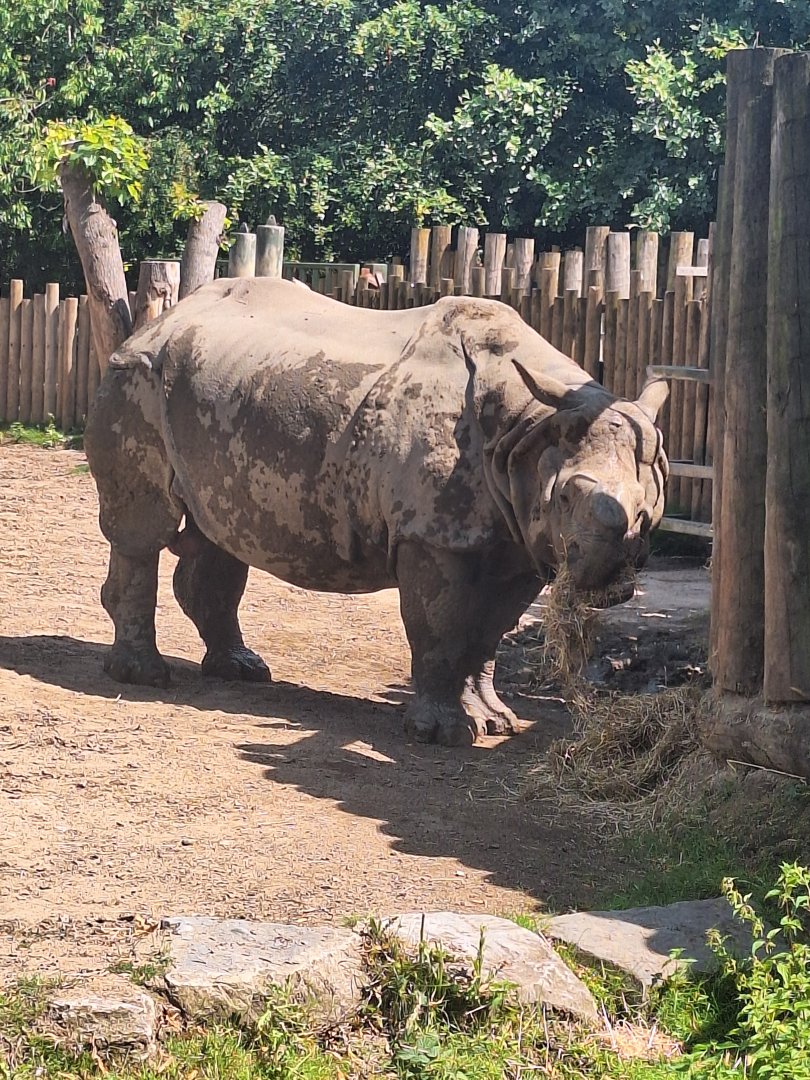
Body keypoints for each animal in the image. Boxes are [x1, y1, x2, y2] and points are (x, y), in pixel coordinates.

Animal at [84, 277, 669, 746]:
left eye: (649, 513)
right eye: (565, 496)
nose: (612, 580)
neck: (529, 425)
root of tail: (158, 322)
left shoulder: (516, 541)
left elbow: (488, 637)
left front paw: (496, 722)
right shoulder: (433, 535)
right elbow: (442, 629)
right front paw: (442, 734)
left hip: (221, 386)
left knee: (220, 530)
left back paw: (240, 670)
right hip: (135, 378)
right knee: (142, 531)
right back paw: (145, 677)